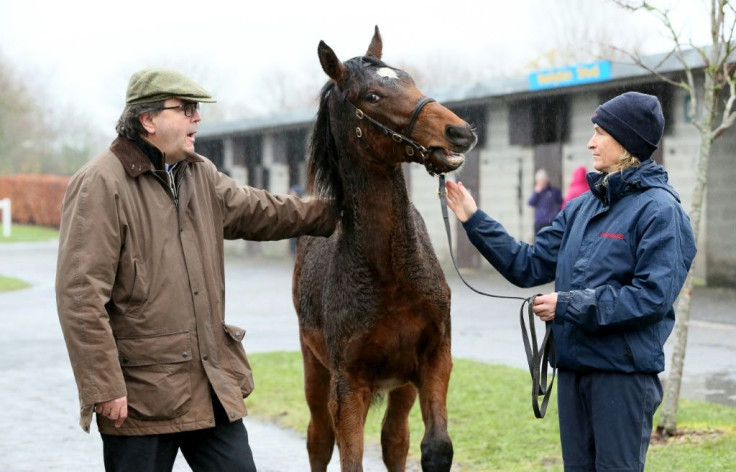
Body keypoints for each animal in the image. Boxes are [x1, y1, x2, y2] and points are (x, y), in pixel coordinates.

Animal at [294, 26, 478, 472]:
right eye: (373, 96)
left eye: (408, 79)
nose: (459, 131)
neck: (391, 277)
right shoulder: (348, 384)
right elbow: (349, 456)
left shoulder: (434, 358)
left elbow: (435, 447)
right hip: (314, 368)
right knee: (318, 438)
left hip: (401, 386)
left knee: (395, 439)